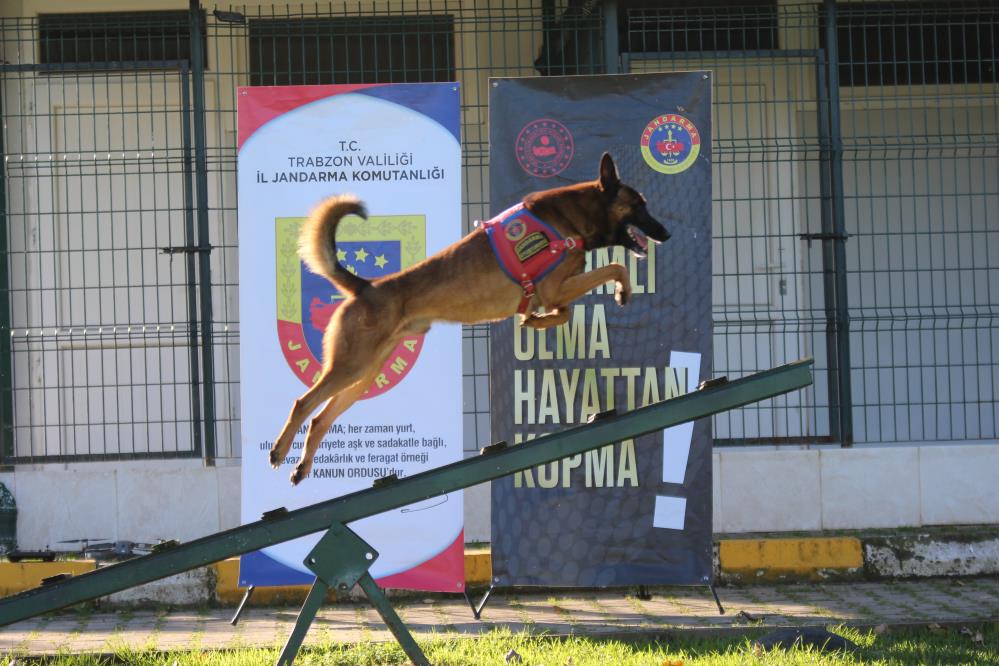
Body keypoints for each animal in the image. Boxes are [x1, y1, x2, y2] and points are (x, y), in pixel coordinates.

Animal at [272, 152, 672, 482]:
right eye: (638, 205)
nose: (666, 233)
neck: (570, 220)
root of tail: (366, 287)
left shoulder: (554, 293)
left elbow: (563, 312)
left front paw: (534, 321)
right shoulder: (556, 287)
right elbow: (617, 267)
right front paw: (622, 291)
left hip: (365, 374)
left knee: (320, 418)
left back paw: (302, 467)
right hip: (351, 365)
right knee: (303, 403)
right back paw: (278, 451)